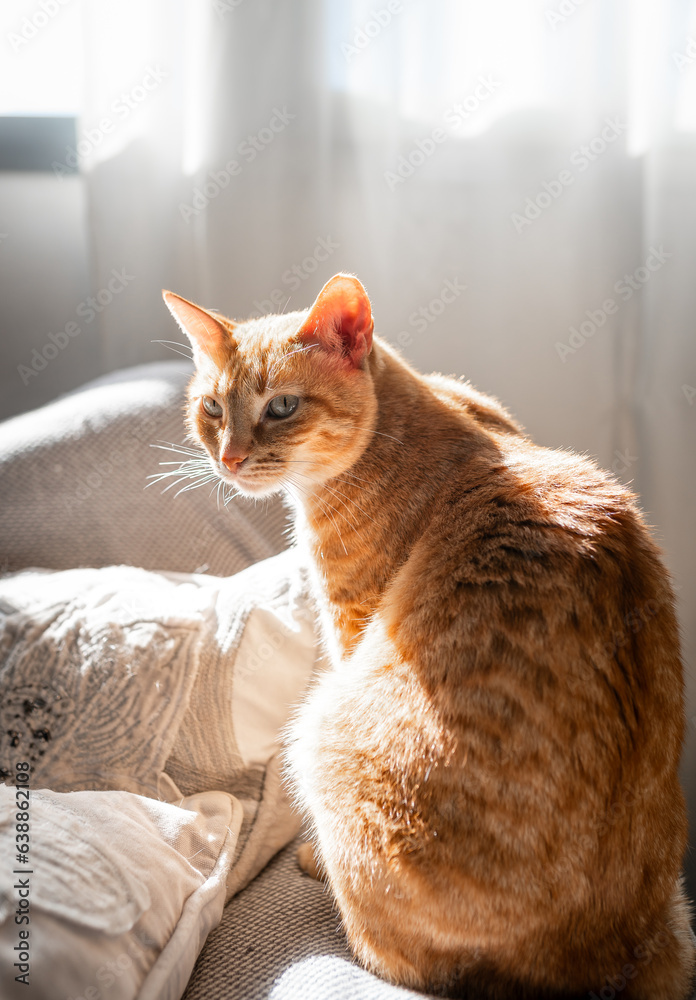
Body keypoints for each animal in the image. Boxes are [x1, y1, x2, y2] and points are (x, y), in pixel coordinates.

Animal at [162, 274, 692, 1000]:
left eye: (283, 406)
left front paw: (312, 857)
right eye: (212, 407)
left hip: (321, 734)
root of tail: (614, 954)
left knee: (391, 959)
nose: (231, 459)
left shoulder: (350, 626)